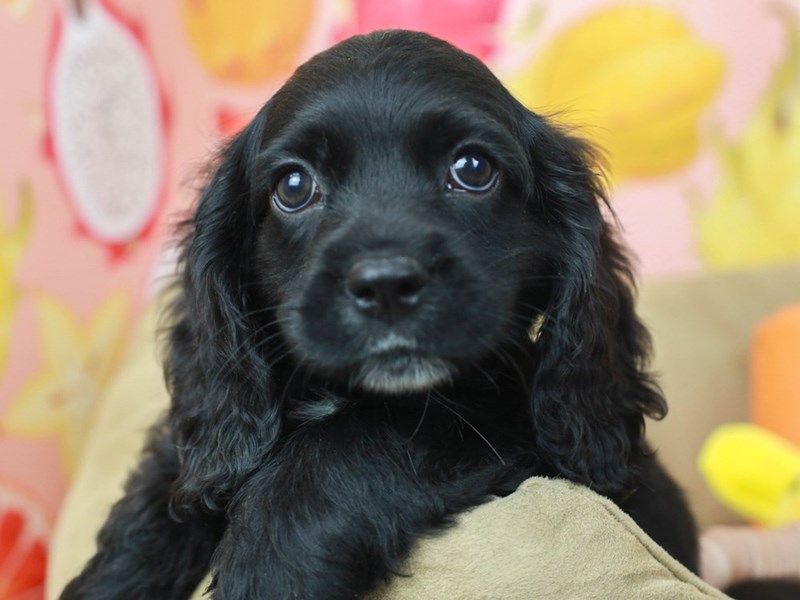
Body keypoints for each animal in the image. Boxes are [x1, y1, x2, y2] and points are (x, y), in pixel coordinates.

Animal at [61, 31, 700, 600]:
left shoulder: (505, 420)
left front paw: (270, 567)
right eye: (294, 185)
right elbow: (166, 493)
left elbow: (359, 438)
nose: (386, 284)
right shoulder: (214, 428)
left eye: (473, 169)